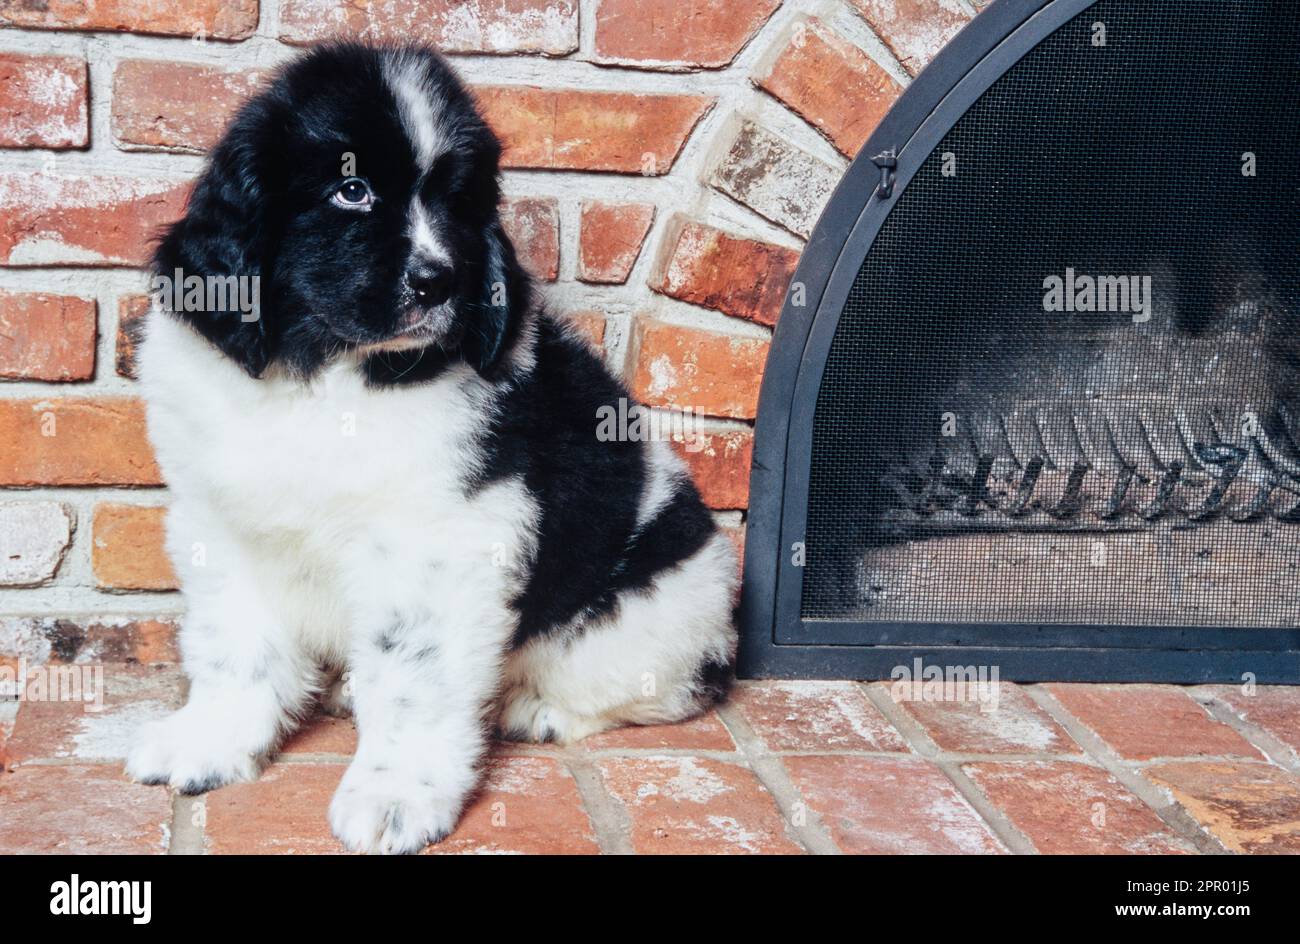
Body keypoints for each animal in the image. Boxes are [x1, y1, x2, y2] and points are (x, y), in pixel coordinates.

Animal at [131, 44, 743, 858]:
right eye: (351, 190)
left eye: (457, 204)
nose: (439, 280)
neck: (327, 375)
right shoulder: (221, 523)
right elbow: (235, 646)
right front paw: (208, 742)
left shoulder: (441, 542)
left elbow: (411, 678)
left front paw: (394, 796)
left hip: (648, 615)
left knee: (663, 687)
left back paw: (536, 709)